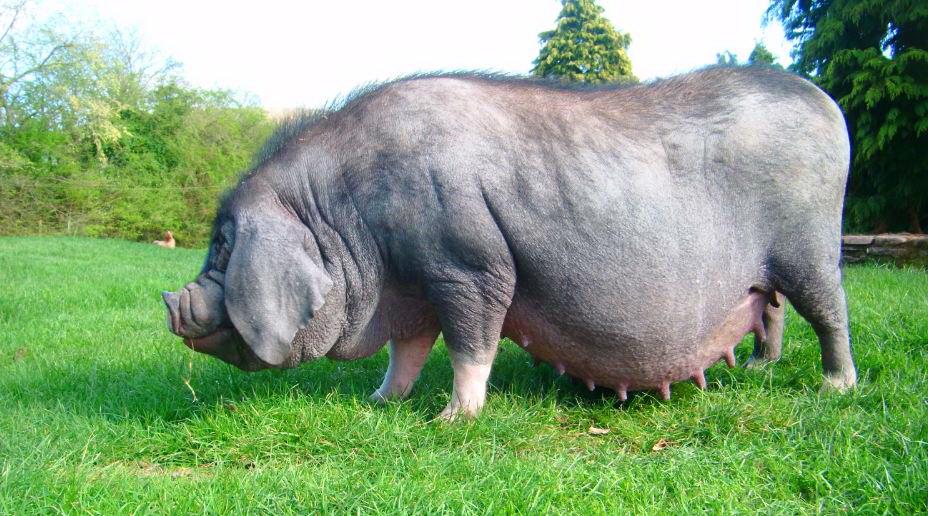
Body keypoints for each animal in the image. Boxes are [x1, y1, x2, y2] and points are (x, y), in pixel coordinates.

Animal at [162, 67, 857, 420]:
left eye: (222, 249)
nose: (170, 302)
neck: (342, 219)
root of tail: (828, 104)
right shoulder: (412, 285)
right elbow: (407, 349)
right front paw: (378, 401)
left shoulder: (466, 263)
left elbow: (472, 339)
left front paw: (453, 420)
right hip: (765, 268)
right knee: (770, 309)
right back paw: (763, 369)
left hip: (809, 243)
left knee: (830, 312)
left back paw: (836, 388)